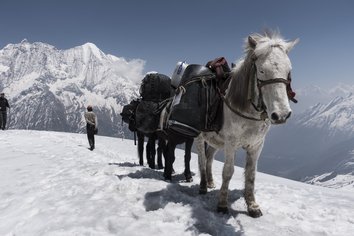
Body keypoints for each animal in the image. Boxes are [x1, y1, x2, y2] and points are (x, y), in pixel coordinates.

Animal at [196, 30, 298, 218]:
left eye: (288, 70)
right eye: (262, 70)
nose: (281, 115)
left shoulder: (257, 145)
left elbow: (251, 174)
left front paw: (253, 206)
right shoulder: (231, 144)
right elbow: (228, 171)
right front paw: (222, 205)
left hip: (215, 141)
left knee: (209, 158)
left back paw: (211, 182)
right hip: (199, 136)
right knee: (201, 158)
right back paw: (203, 186)